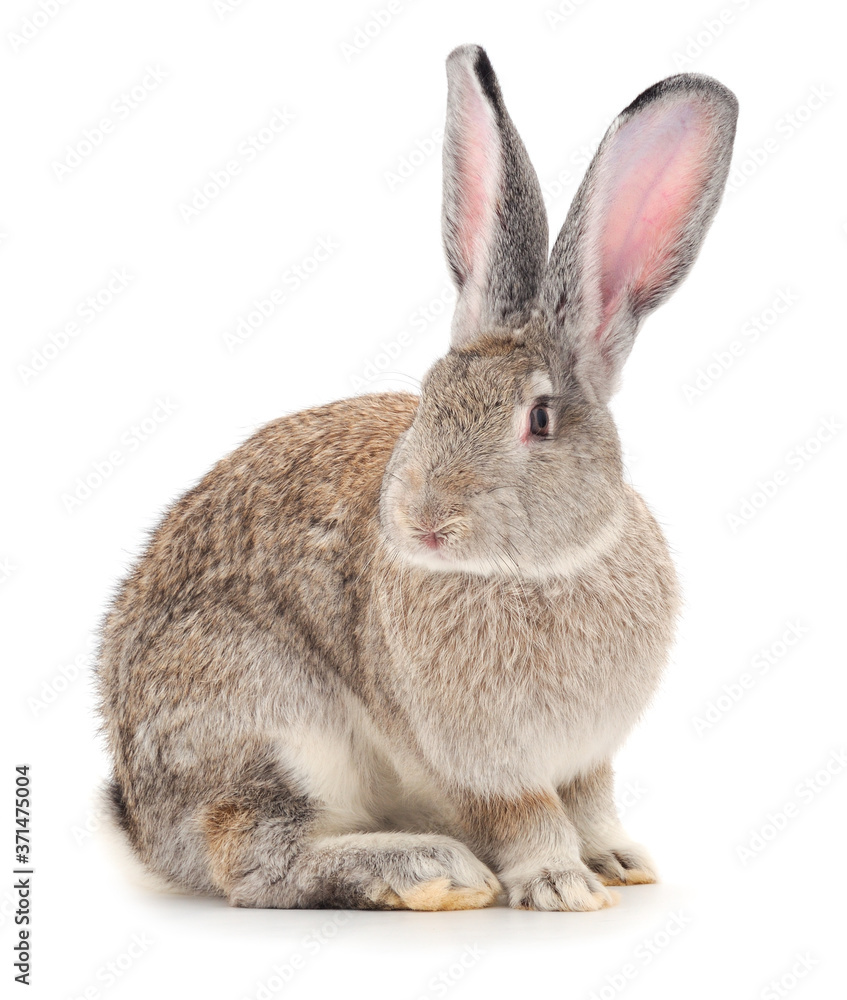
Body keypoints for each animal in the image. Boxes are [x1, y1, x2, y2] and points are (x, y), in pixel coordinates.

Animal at [96, 44, 738, 911]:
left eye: (539, 419)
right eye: (427, 402)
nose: (427, 520)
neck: (534, 571)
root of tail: (143, 823)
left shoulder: (585, 759)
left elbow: (590, 804)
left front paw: (615, 863)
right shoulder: (481, 764)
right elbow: (525, 817)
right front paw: (561, 886)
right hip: (270, 726)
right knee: (254, 860)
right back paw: (430, 870)